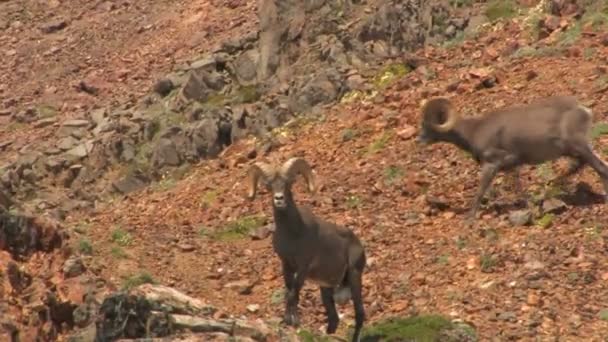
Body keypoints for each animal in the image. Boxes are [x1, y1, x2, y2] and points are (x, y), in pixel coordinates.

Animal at [246, 158, 366, 342]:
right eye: (269, 186)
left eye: (288, 183)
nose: (279, 199)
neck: (293, 234)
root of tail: (359, 245)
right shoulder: (286, 265)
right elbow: (288, 292)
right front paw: (287, 320)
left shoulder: (303, 268)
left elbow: (293, 294)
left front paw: (293, 321)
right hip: (326, 288)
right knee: (334, 320)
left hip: (354, 276)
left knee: (359, 314)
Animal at [416, 96, 608, 224]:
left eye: (426, 124)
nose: (419, 140)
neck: (473, 131)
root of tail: (584, 111)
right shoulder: (512, 166)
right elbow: (519, 189)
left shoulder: (492, 164)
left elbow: (480, 192)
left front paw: (469, 220)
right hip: (573, 151)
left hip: (579, 147)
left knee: (601, 168)